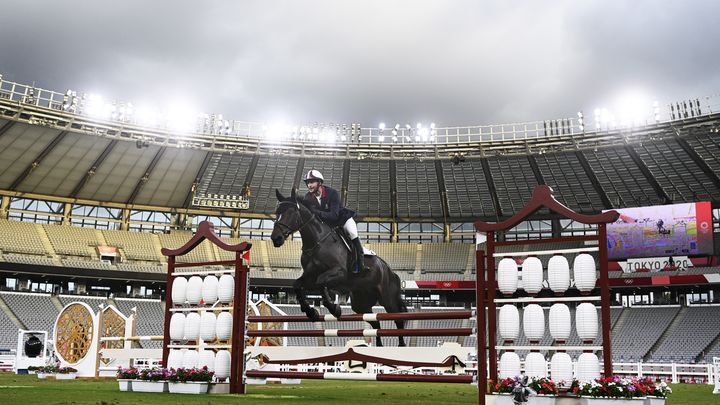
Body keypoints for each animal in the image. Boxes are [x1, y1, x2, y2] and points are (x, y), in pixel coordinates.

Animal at [270, 188, 408, 346]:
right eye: (277, 212)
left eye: (291, 212)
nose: (275, 238)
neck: (317, 241)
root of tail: (390, 271)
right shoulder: (309, 276)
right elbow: (297, 285)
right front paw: (311, 312)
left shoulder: (339, 273)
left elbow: (321, 282)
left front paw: (334, 309)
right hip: (361, 302)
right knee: (375, 322)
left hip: (387, 298)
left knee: (397, 318)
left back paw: (401, 345)